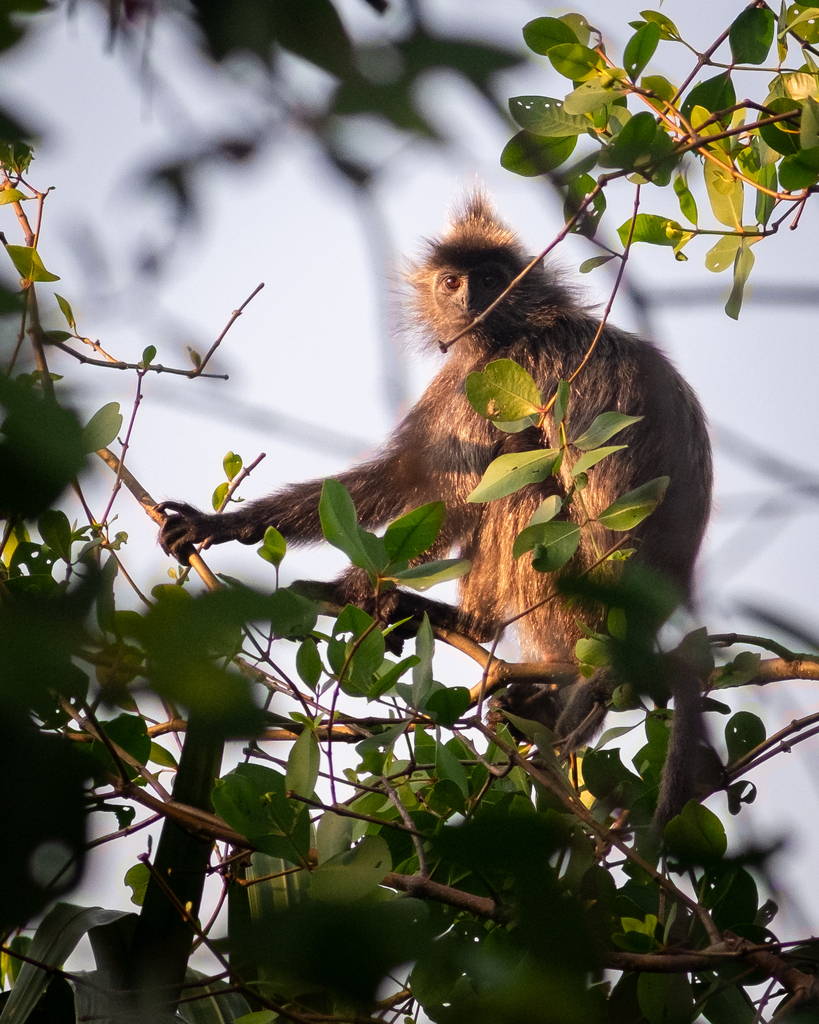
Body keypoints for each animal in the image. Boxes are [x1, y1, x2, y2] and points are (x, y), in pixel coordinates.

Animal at [159, 194, 713, 826]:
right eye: (452, 281)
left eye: (491, 279)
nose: (469, 300)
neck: (521, 325)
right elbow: (416, 481)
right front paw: (224, 524)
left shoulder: (500, 371)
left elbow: (448, 492)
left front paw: (351, 589)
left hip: (583, 585)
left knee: (523, 481)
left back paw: (495, 642)